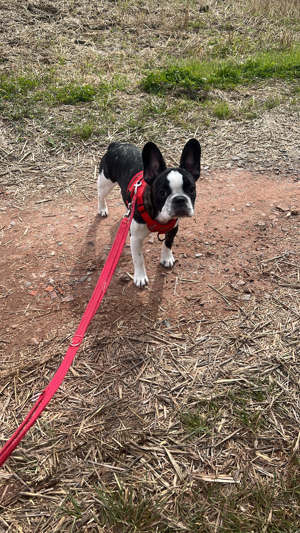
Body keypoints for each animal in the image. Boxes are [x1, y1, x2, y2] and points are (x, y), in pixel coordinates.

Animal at [98, 137, 200, 286]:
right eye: (162, 193)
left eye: (191, 189)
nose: (180, 199)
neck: (160, 216)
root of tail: (117, 145)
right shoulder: (135, 239)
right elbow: (138, 259)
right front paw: (140, 277)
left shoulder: (173, 229)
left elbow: (168, 243)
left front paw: (166, 258)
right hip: (105, 182)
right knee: (100, 195)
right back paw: (102, 208)